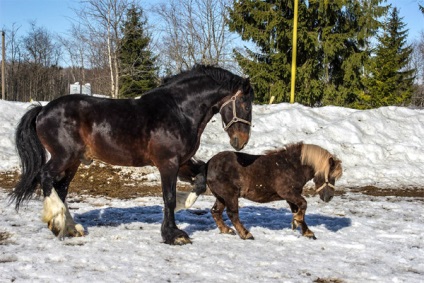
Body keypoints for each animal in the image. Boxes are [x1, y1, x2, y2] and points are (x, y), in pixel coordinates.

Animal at [11, 65, 253, 245]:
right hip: (63, 157)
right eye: (244, 103)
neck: (179, 111)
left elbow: (201, 179)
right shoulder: (168, 163)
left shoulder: (182, 162)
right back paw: (56, 221)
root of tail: (42, 110)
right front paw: (173, 234)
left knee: (61, 188)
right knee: (45, 177)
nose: (241, 141)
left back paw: (70, 228)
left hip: (73, 162)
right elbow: (169, 197)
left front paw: (185, 202)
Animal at [181, 143, 342, 241]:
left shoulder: (291, 196)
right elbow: (303, 204)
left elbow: (299, 210)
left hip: (221, 196)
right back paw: (246, 234)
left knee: (215, 212)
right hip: (230, 195)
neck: (292, 166)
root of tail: (208, 164)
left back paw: (227, 230)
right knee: (232, 214)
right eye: (330, 176)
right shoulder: (288, 193)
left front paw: (306, 231)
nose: (329, 197)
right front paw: (297, 223)